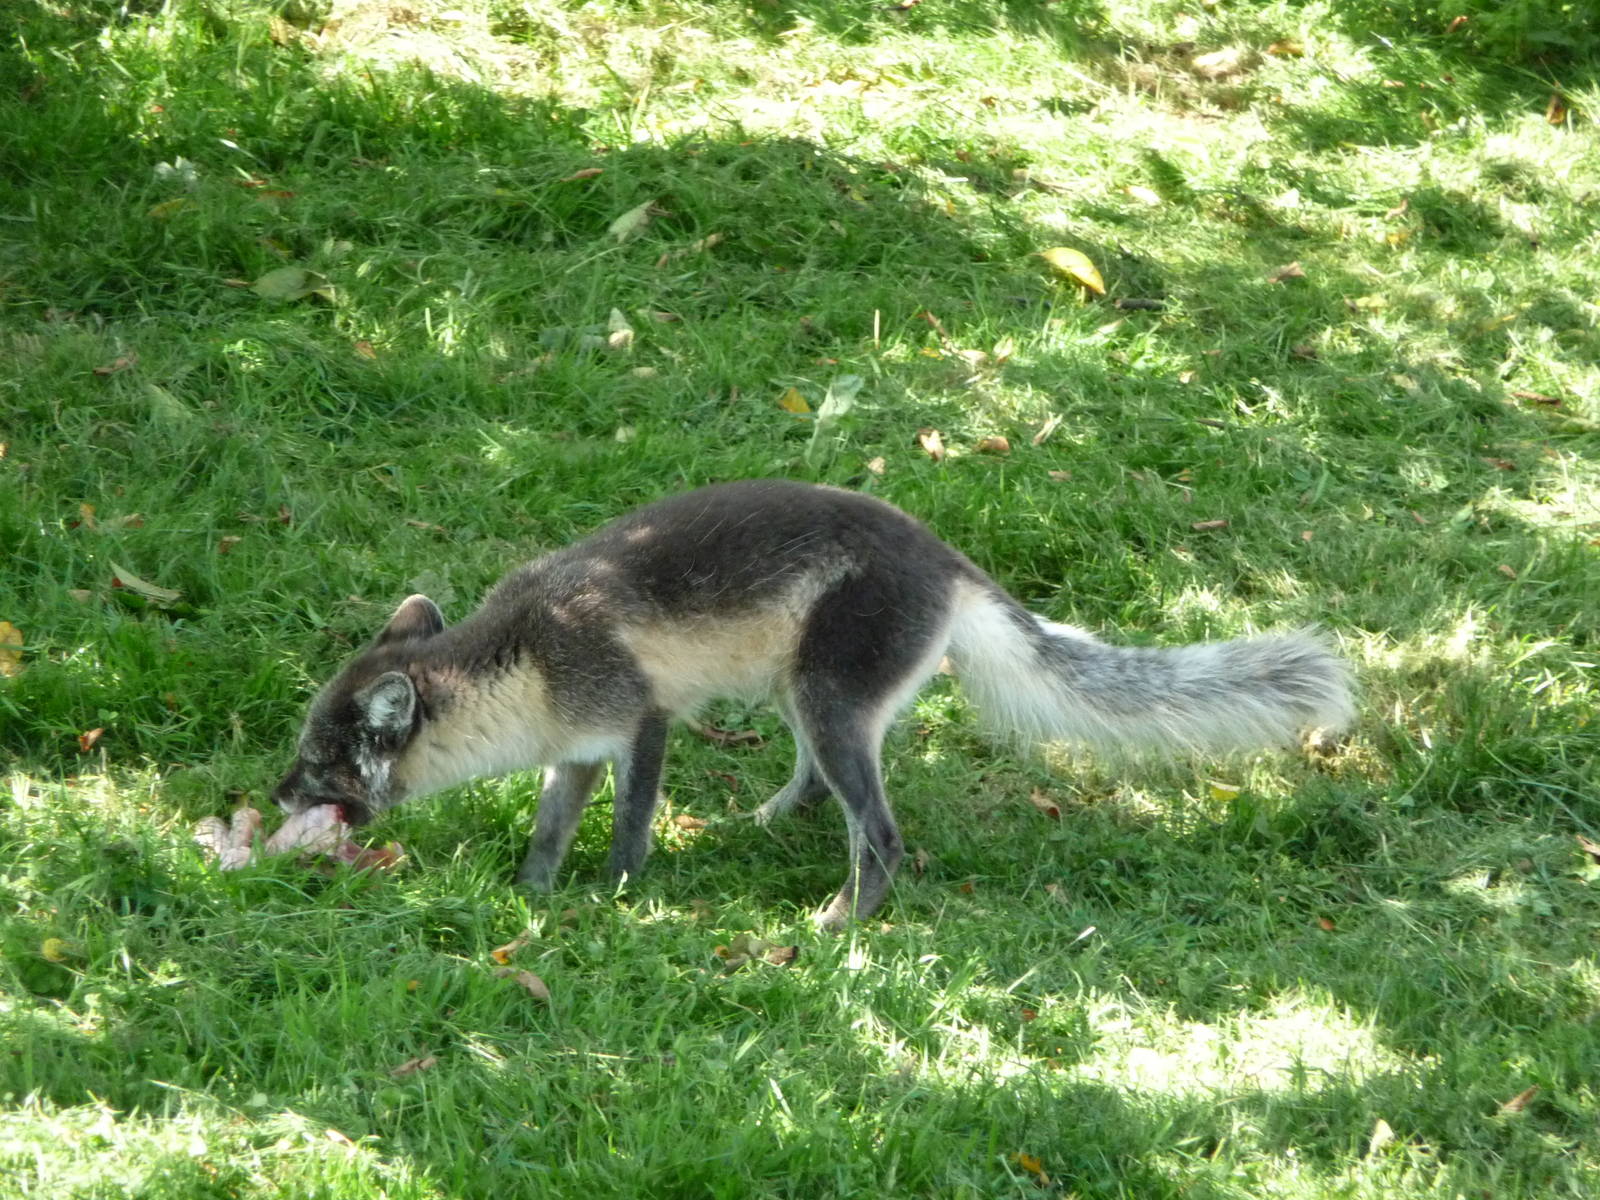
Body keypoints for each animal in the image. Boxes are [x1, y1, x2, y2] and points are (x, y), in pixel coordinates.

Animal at [274, 479, 1353, 927]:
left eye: (321, 760)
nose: (273, 795)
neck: (524, 653)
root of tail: (949, 559)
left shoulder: (640, 719)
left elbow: (628, 823)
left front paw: (615, 895)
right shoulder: (573, 744)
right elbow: (550, 824)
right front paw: (533, 892)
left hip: (830, 696)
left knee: (881, 832)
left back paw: (841, 922)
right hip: (803, 692)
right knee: (819, 782)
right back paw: (769, 820)